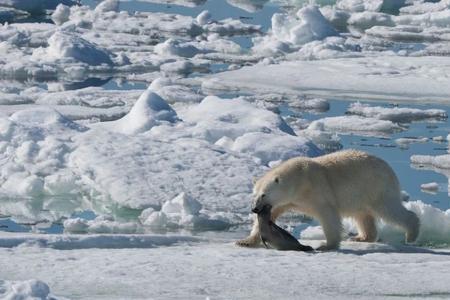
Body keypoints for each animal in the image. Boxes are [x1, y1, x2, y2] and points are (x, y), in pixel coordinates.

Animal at [237, 150, 420, 251]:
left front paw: (326, 246)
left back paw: (411, 235)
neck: (299, 179)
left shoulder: (317, 191)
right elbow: (272, 213)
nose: (255, 209)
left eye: (264, 194)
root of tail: (389, 167)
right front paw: (245, 241)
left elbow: (328, 215)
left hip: (376, 187)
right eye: (255, 194)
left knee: (390, 210)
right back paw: (361, 238)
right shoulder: (287, 201)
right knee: (362, 215)